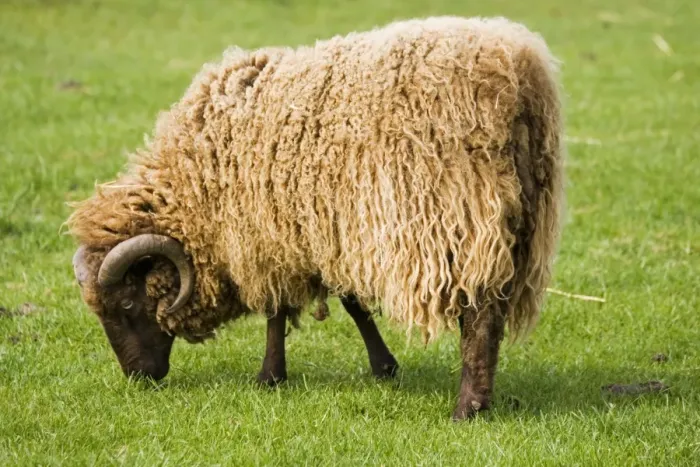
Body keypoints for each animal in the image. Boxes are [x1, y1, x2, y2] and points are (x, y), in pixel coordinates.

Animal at [67, 15, 565, 420]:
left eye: (127, 304)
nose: (138, 376)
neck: (199, 176)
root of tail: (516, 73)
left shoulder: (269, 234)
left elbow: (279, 308)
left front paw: (270, 376)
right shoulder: (321, 230)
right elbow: (350, 301)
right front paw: (383, 366)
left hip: (461, 216)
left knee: (480, 316)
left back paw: (468, 408)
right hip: (518, 223)